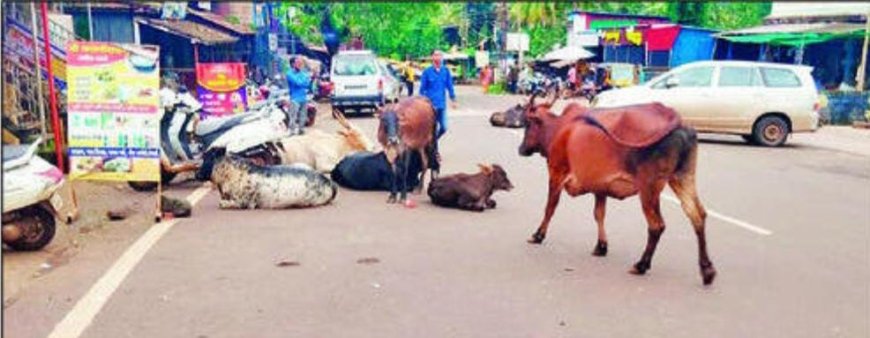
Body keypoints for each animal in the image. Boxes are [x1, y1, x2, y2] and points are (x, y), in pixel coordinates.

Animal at [516, 93, 716, 286]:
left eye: (527, 124)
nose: (521, 149)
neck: (560, 128)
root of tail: (675, 118)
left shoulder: (556, 173)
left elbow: (550, 207)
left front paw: (538, 235)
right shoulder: (600, 187)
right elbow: (599, 214)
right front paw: (601, 246)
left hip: (649, 188)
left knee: (656, 225)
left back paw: (641, 265)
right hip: (682, 178)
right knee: (697, 215)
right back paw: (707, 270)